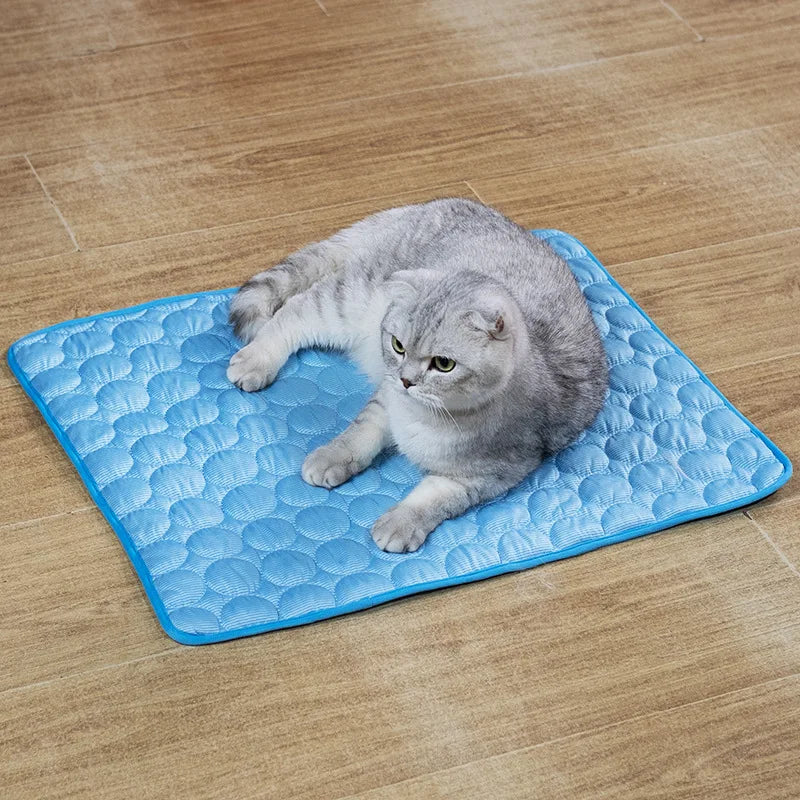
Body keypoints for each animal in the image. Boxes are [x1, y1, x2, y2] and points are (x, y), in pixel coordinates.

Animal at [225, 197, 608, 552]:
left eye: (443, 364)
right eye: (398, 346)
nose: (406, 380)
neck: (429, 416)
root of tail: (429, 204)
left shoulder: (492, 473)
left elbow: (433, 496)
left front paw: (401, 523)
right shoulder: (385, 401)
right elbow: (359, 435)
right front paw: (332, 457)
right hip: (350, 299)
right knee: (294, 311)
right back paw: (256, 360)